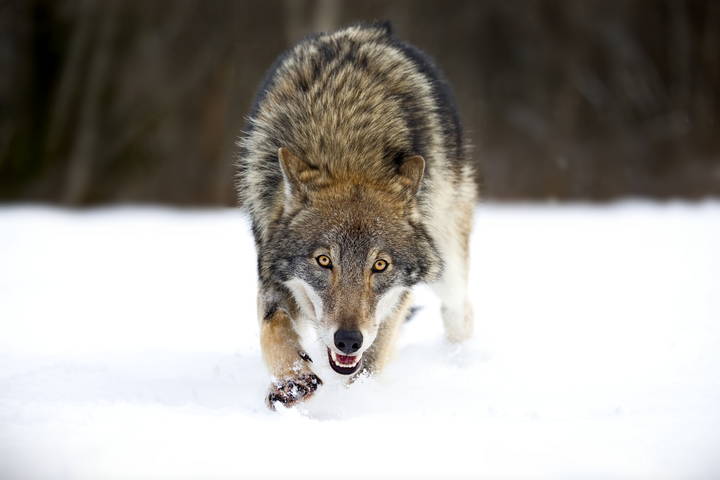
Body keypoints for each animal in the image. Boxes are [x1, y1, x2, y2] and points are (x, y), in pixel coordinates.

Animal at [233, 20, 476, 406]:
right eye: (323, 261)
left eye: (380, 265)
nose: (348, 340)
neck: (345, 143)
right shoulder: (271, 268)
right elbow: (273, 326)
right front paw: (292, 379)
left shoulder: (393, 304)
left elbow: (371, 361)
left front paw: (354, 404)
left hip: (448, 266)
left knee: (460, 313)